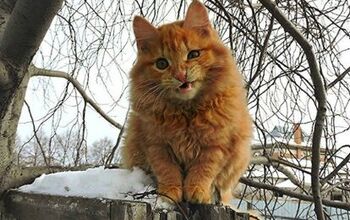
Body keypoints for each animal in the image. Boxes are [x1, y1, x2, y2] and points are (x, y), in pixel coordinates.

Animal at [123, 0, 252, 205]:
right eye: (162, 64)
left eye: (193, 54)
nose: (180, 74)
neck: (186, 112)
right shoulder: (157, 145)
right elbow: (167, 171)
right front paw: (169, 193)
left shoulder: (216, 146)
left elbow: (202, 171)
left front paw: (197, 192)